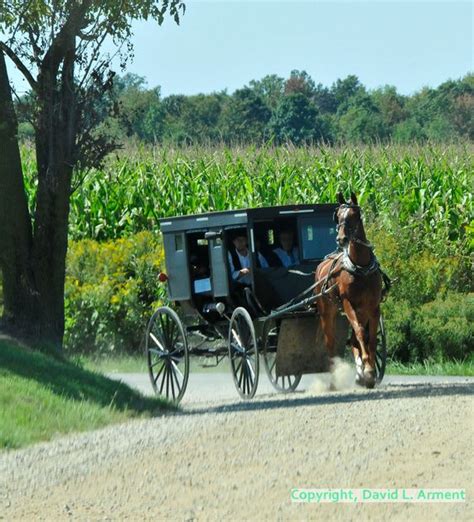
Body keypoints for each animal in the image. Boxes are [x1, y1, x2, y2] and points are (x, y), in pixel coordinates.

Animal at [316, 191, 384, 386]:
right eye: (338, 216)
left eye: (354, 215)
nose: (341, 239)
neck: (360, 268)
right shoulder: (348, 304)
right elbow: (361, 333)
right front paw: (368, 369)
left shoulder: (373, 307)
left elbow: (371, 338)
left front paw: (368, 371)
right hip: (327, 312)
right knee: (330, 343)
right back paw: (334, 379)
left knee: (354, 339)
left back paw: (360, 373)